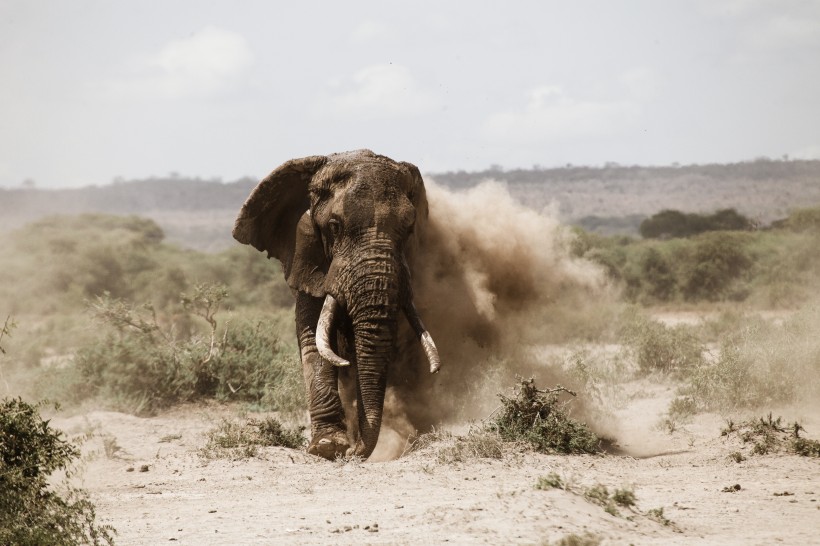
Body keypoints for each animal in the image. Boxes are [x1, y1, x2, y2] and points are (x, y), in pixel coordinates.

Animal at [234, 149, 442, 460]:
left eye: (408, 230)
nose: (354, 452)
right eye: (334, 227)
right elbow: (312, 337)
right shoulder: (306, 257)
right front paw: (328, 446)